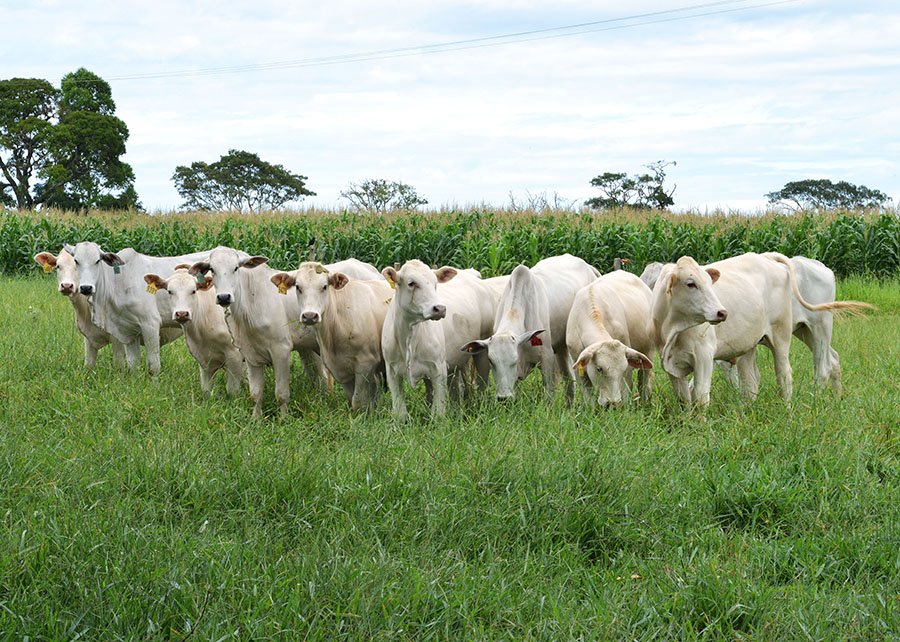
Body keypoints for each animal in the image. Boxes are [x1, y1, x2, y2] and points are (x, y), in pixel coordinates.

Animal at [65, 240, 213, 372]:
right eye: (76, 261)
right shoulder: (129, 330)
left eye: (97, 261)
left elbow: (153, 365)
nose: (86, 288)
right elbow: (133, 365)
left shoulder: (151, 323)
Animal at [143, 264, 244, 396]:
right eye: (170, 291)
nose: (182, 313)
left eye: (193, 291)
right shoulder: (203, 359)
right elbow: (206, 391)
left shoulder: (234, 356)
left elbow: (232, 391)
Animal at [268, 262, 392, 408]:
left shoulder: (366, 365)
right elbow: (352, 401)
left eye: (324, 286)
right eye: (298, 287)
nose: (309, 316)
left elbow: (357, 401)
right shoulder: (340, 369)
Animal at [458, 252, 596, 398]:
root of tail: (588, 267)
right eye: (491, 361)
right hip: (560, 346)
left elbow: (549, 394)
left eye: (514, 360)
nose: (503, 397)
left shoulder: (546, 358)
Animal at [568, 270, 652, 404]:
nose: (612, 403)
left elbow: (626, 393)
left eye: (623, 369)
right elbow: (589, 400)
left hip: (649, 352)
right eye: (599, 369)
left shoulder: (627, 371)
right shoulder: (578, 370)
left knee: (643, 380)